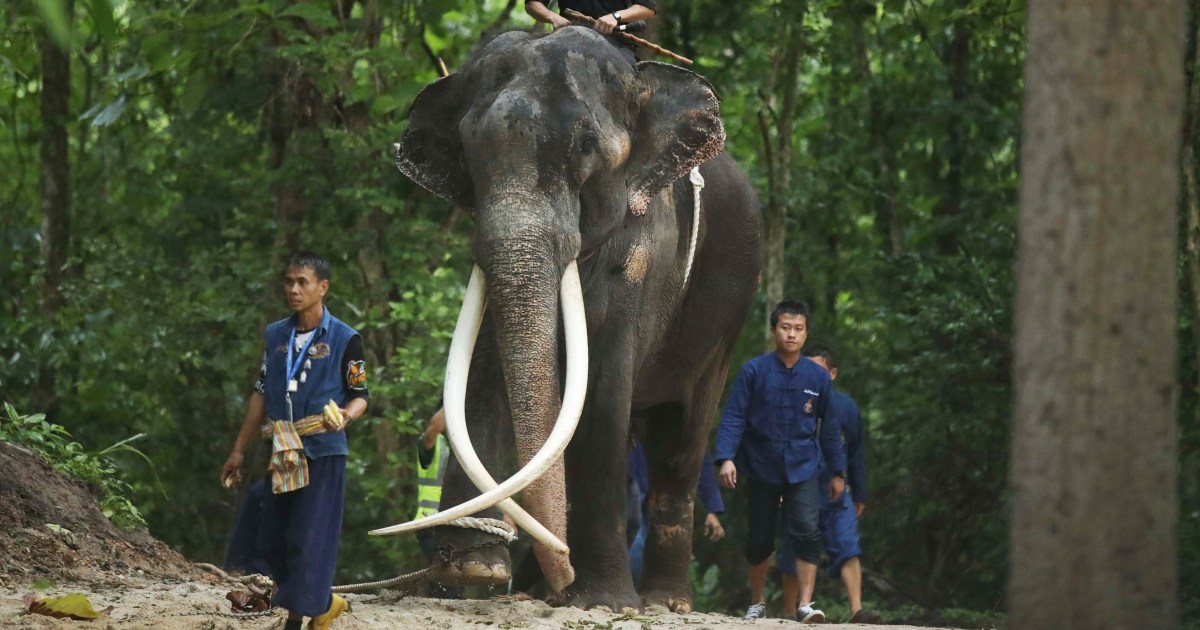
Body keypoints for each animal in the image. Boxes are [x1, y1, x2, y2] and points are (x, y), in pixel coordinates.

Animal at [377, 26, 762, 612]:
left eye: (585, 147)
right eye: (466, 149)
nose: (560, 573)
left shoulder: (645, 250)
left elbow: (602, 389)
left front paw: (604, 601)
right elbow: (482, 377)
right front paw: (475, 569)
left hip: (727, 319)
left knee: (681, 438)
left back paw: (663, 601)